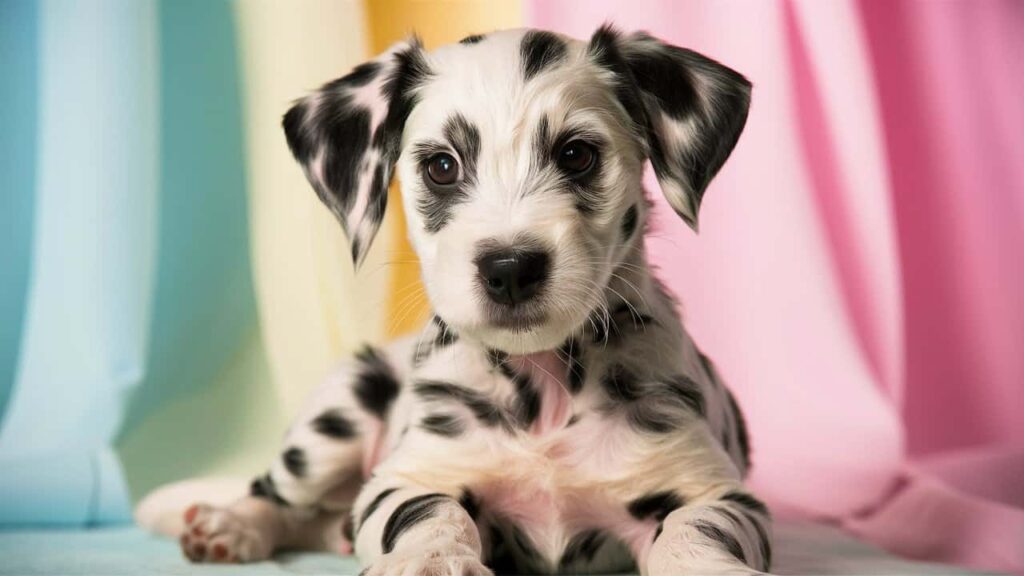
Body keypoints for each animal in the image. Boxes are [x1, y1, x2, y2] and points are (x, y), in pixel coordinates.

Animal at [178, 25, 770, 573]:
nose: (510, 269)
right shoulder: (409, 477)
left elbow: (695, 530)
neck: (545, 391)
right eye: (442, 166)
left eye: (577, 155)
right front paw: (428, 561)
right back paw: (230, 525)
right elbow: (431, 513)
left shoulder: (716, 491)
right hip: (337, 413)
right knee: (276, 492)